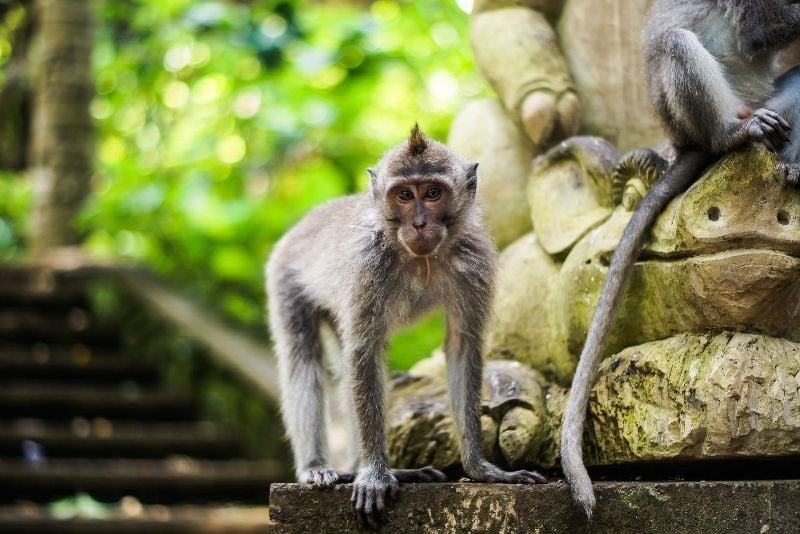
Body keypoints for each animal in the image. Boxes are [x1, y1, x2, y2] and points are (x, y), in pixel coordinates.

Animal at [266, 126, 548, 532]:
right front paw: (374, 475)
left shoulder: (475, 260)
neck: (421, 259)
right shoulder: (367, 265)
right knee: (304, 358)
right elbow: (364, 353)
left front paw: (481, 469)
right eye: (403, 195)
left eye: (432, 193)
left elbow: (462, 348)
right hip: (285, 276)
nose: (418, 223)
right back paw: (319, 467)